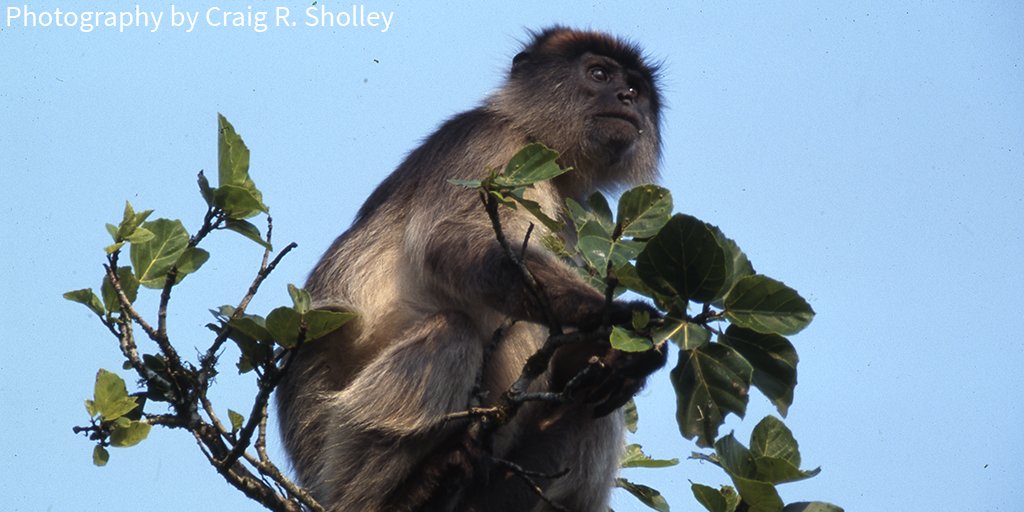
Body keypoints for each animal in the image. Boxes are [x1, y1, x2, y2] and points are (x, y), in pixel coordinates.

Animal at [276, 27, 664, 512]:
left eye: (637, 89)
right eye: (599, 74)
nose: (626, 97)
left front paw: (613, 353)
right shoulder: (489, 141)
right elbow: (450, 243)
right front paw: (616, 317)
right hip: (327, 444)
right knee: (451, 330)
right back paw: (406, 493)